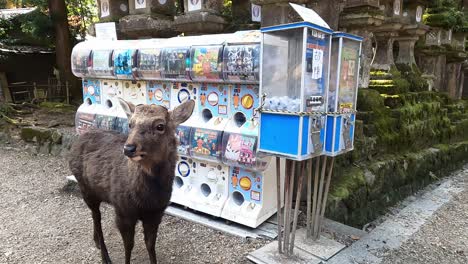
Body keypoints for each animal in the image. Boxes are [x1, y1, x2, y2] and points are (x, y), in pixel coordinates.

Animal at [68, 98, 195, 262]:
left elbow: (150, 245)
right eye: (130, 124)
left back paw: (96, 242)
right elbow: (128, 246)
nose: (128, 148)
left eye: (160, 126)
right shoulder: (123, 210)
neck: (146, 200)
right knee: (97, 217)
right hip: (84, 187)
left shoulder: (156, 213)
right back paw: (105, 256)